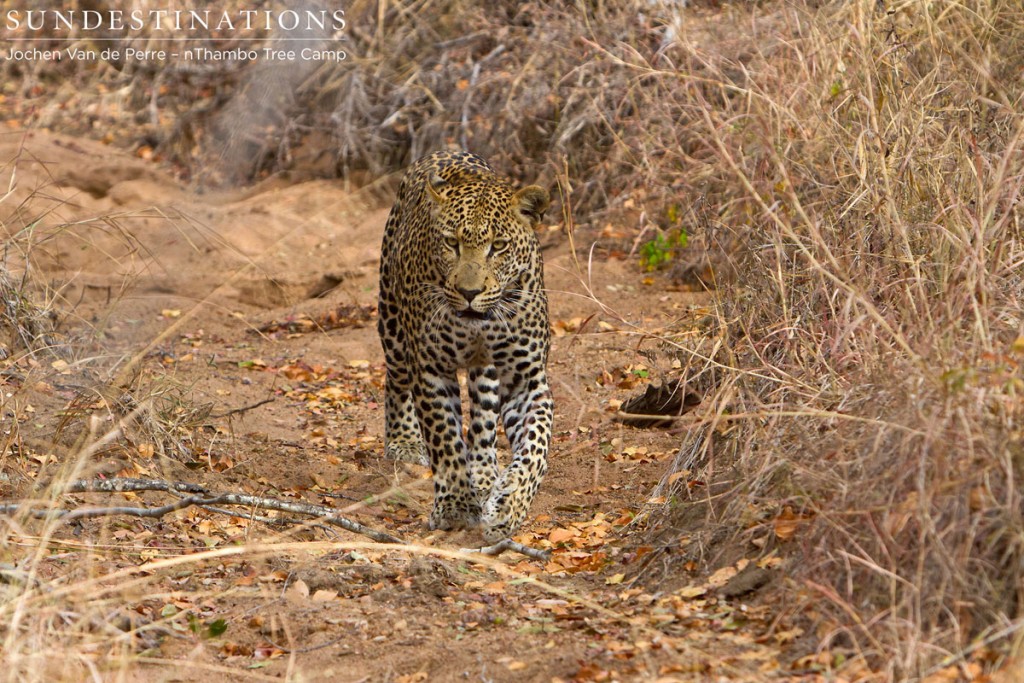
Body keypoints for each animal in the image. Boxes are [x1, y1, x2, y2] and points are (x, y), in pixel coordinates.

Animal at [376, 150, 552, 544]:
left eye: (498, 246)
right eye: (450, 243)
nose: (469, 292)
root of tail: (446, 150)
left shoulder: (527, 378)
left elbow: (536, 446)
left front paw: (509, 505)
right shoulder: (430, 369)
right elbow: (444, 437)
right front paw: (456, 506)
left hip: (485, 371)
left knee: (483, 417)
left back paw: (485, 473)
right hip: (392, 326)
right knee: (396, 381)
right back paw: (403, 439)